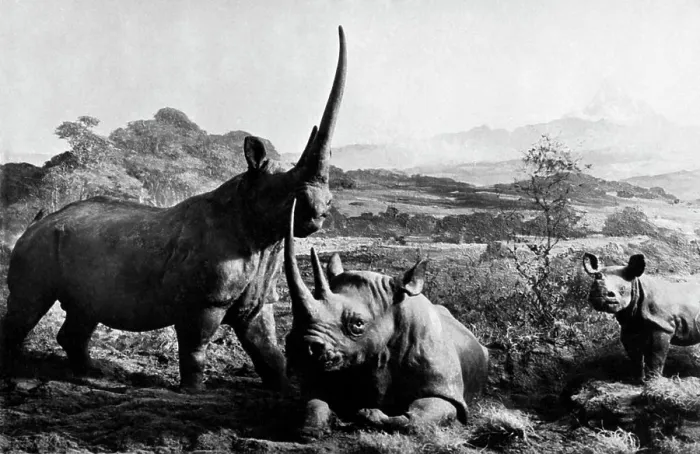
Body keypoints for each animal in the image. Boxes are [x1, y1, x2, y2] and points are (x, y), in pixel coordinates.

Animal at [0, 26, 347, 392]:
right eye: (287, 190)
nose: (321, 208)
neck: (254, 216)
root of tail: (35, 224)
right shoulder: (204, 301)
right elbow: (196, 346)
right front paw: (194, 391)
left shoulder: (260, 296)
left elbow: (268, 350)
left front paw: (284, 388)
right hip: (39, 245)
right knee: (28, 305)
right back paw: (17, 372)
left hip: (76, 244)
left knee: (84, 308)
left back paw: (89, 373)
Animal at [283, 201, 489, 437]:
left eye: (357, 324)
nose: (299, 348)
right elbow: (314, 402)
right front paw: (312, 427)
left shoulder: (445, 389)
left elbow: (416, 419)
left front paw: (366, 413)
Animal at [583, 252, 700, 380]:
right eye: (592, 286)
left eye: (622, 289)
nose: (599, 296)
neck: (637, 284)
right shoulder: (630, 325)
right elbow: (634, 353)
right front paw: (637, 379)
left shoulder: (662, 325)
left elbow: (656, 354)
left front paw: (653, 380)